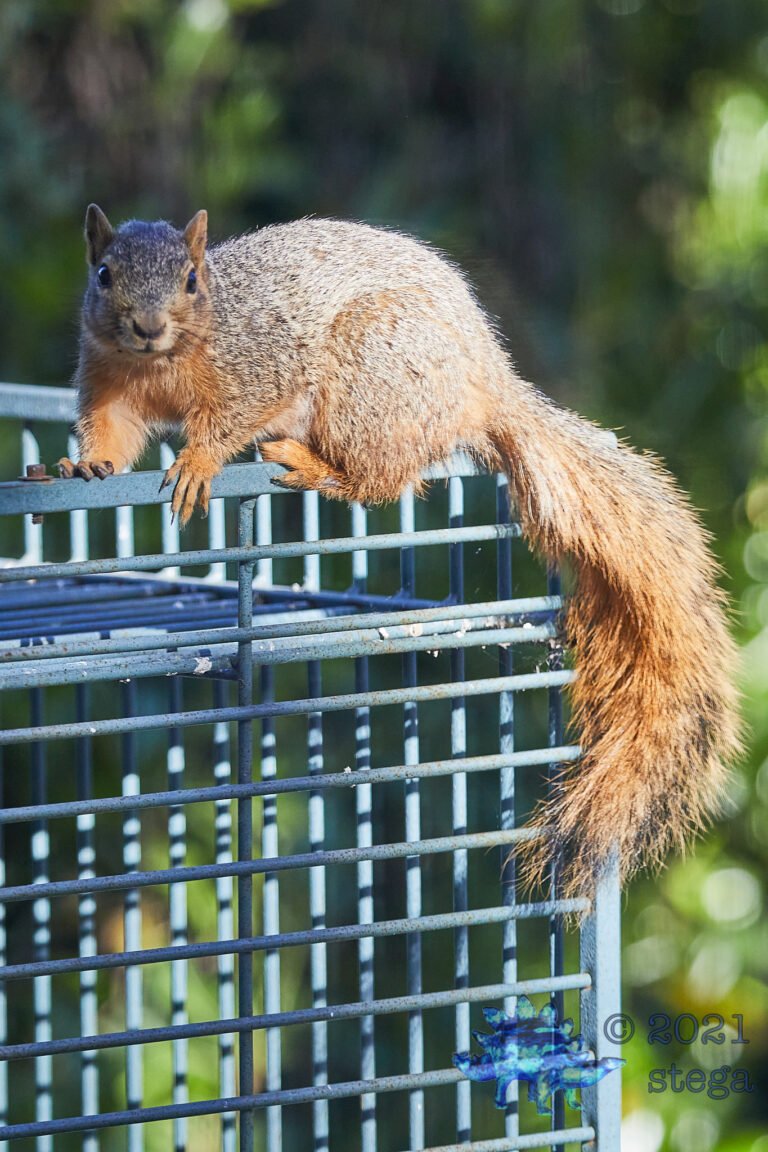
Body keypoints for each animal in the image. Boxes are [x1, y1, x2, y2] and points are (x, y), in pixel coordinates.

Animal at [59, 204, 741, 897]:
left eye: (192, 280)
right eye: (103, 274)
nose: (147, 327)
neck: (161, 363)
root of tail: (485, 383)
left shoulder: (256, 365)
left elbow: (229, 419)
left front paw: (197, 461)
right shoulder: (110, 383)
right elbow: (112, 438)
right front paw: (82, 466)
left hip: (368, 379)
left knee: (383, 479)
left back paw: (308, 463)